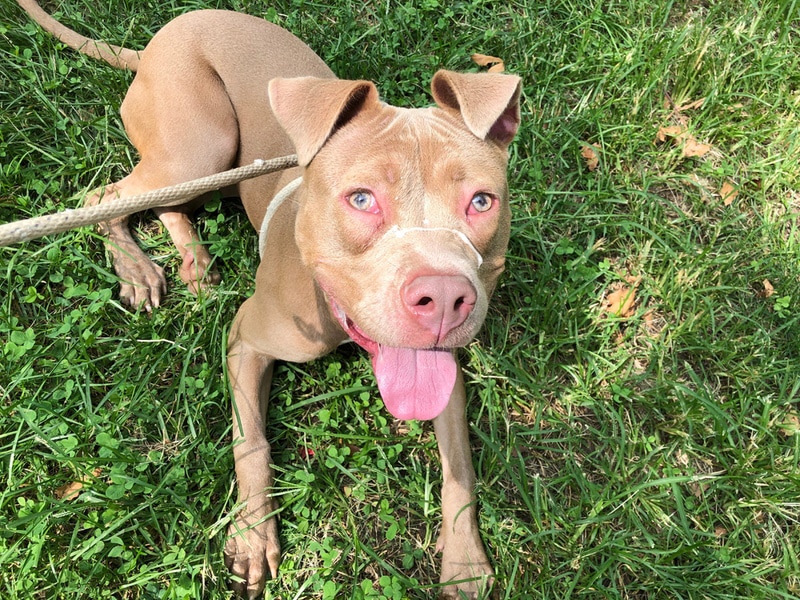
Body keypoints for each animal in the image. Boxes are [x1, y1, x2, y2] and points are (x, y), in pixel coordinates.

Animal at [18, 2, 520, 596]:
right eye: (362, 199)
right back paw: (138, 267)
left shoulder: (448, 375)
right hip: (201, 145)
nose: (443, 297)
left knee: (166, 204)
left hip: (212, 169)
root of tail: (157, 41)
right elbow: (251, 444)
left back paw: (193, 262)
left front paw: (464, 561)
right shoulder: (247, 340)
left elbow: (460, 469)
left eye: (481, 202)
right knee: (106, 197)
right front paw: (253, 537)